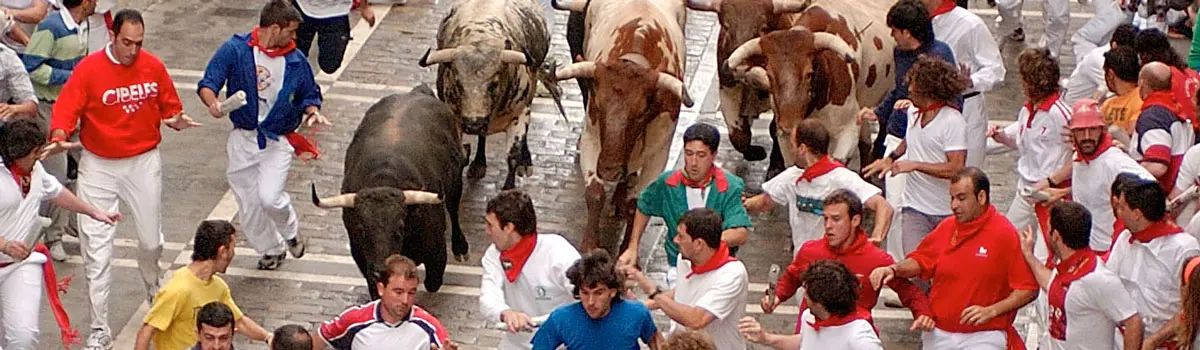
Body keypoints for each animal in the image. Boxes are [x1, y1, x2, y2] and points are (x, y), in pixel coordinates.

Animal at [312, 84, 470, 298]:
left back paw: (460, 247)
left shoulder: (436, 251)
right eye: (362, 230)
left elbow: (432, 282)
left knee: (453, 208)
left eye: (399, 229)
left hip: (455, 184)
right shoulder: (361, 258)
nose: (380, 270)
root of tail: (416, 92)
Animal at [417, 0, 556, 190]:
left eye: (493, 84)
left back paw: (525, 161)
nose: (473, 123)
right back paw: (479, 163)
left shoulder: (519, 115)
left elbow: (512, 156)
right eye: (458, 83)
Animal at [549, 0, 691, 251]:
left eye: (641, 112)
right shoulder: (592, 139)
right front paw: (590, 245)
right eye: (598, 104)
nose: (610, 170)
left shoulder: (659, 153)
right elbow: (595, 193)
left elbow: (637, 203)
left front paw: (627, 249)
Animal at [686, 0, 892, 175]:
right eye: (770, 75)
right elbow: (740, 136)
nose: (737, 70)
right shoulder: (731, 92)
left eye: (809, 73)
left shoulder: (847, 128)